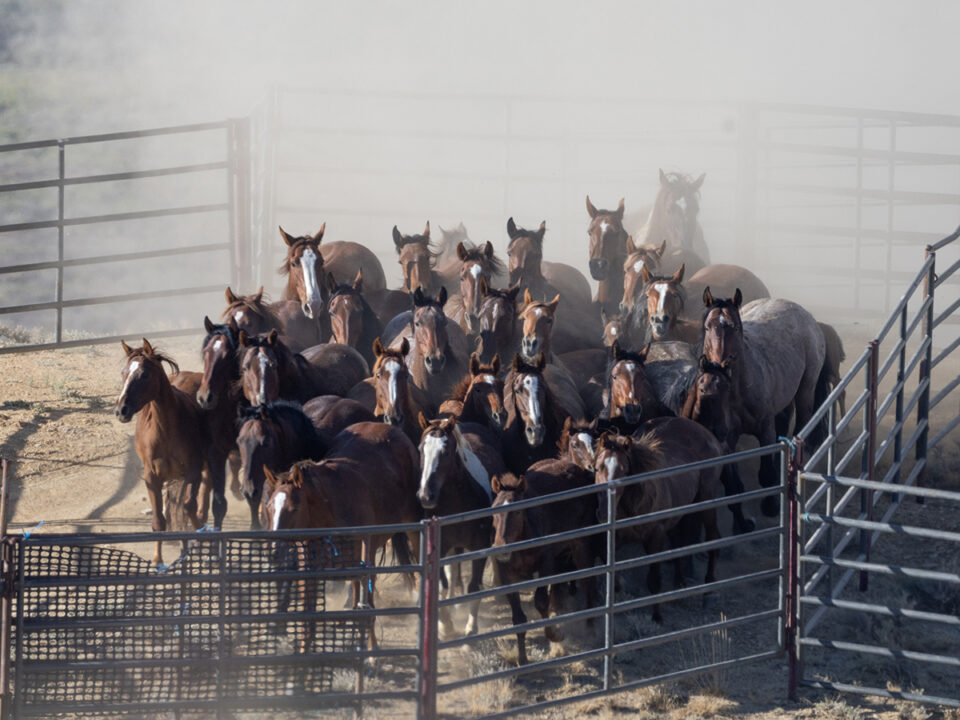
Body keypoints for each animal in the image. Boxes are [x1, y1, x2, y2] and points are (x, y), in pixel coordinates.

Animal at [113, 338, 211, 568]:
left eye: (144, 375)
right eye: (123, 372)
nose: (121, 410)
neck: (165, 427)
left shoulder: (192, 470)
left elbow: (189, 506)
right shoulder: (152, 477)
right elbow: (159, 519)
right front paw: (158, 560)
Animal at [416, 414, 506, 640]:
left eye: (445, 451)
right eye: (421, 449)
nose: (426, 496)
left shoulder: (479, 547)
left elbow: (474, 587)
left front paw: (471, 627)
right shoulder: (439, 546)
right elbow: (441, 585)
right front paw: (445, 625)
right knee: (452, 572)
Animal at [496, 464, 600, 668]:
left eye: (517, 511)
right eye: (494, 510)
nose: (501, 549)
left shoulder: (545, 564)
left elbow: (541, 601)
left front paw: (555, 635)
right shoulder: (507, 576)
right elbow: (518, 618)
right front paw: (522, 658)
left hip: (581, 546)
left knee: (588, 583)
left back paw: (591, 628)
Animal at [592, 422, 720, 624]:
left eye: (624, 471)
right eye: (597, 468)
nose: (604, 513)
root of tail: (705, 431)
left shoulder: (655, 537)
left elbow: (653, 580)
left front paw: (657, 616)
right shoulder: (613, 539)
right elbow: (607, 565)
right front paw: (617, 588)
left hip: (706, 500)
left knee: (713, 537)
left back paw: (710, 592)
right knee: (677, 542)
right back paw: (680, 582)